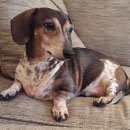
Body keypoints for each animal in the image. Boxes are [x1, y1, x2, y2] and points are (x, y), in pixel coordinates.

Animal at [0, 7, 129, 122]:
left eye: (70, 29)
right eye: (49, 25)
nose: (71, 54)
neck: (38, 64)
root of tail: (125, 75)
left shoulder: (68, 88)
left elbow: (58, 97)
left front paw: (59, 110)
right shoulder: (19, 79)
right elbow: (16, 84)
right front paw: (8, 91)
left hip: (111, 81)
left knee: (112, 95)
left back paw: (102, 100)